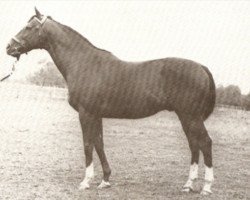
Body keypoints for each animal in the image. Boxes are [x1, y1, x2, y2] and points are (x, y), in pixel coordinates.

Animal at [6, 8, 216, 195]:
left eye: (29, 27)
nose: (9, 47)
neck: (84, 63)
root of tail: (201, 67)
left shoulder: (86, 113)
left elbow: (87, 145)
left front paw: (86, 182)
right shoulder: (96, 115)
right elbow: (99, 144)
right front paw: (105, 180)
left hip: (191, 116)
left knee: (205, 142)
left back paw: (206, 187)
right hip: (186, 117)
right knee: (194, 144)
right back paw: (188, 185)